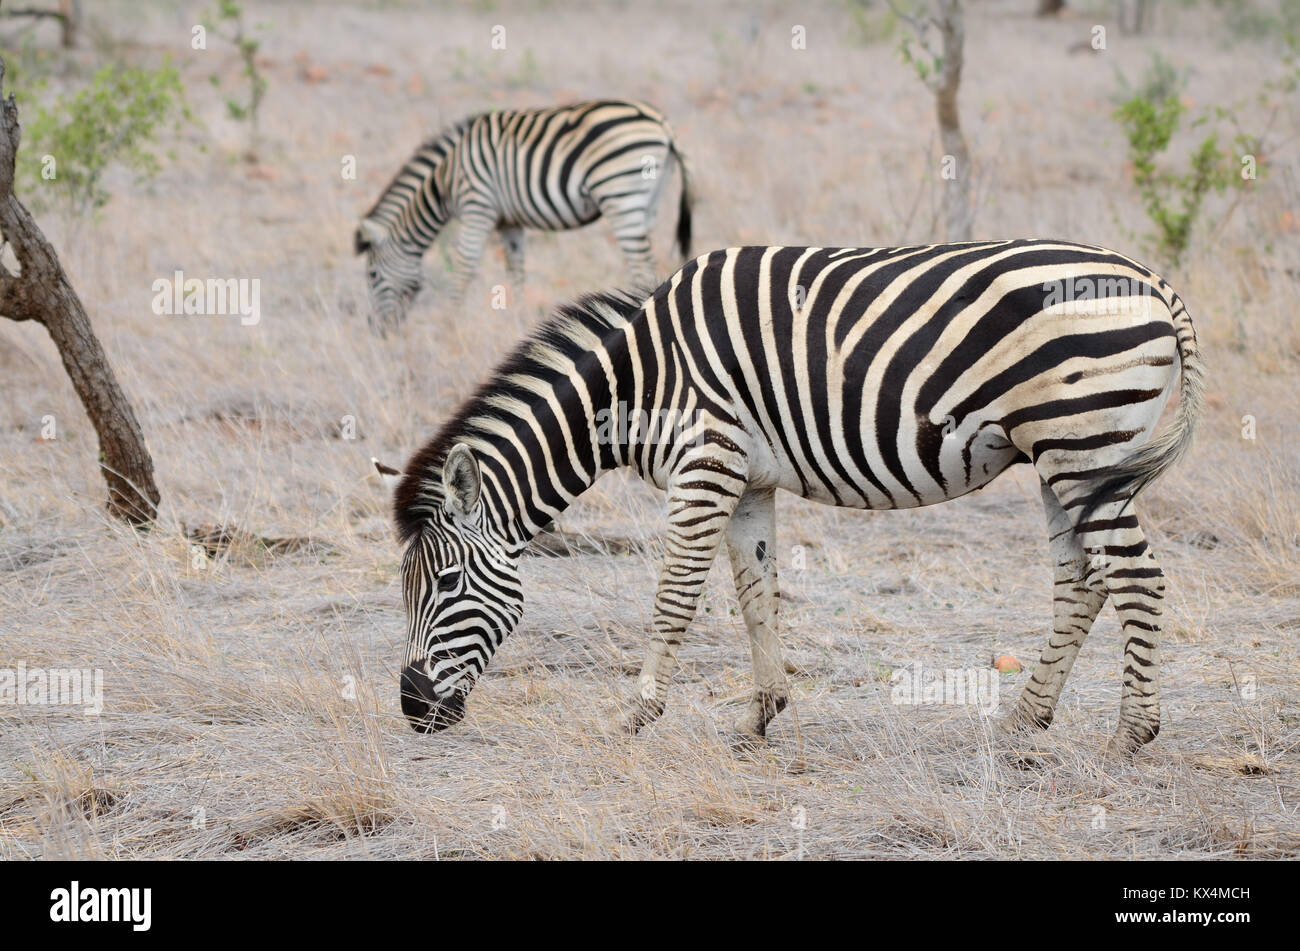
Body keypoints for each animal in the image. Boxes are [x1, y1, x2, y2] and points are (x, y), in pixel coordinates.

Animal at [355, 99, 692, 334]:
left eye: (372, 276)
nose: (377, 330)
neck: (446, 179)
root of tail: (660, 122)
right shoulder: (510, 222)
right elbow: (515, 270)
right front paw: (518, 319)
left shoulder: (478, 206)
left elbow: (465, 266)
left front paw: (452, 325)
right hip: (648, 200)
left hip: (620, 196)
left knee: (642, 266)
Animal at [377, 239, 1204, 758]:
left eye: (443, 582)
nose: (412, 710)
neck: (636, 383)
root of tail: (1152, 279)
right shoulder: (748, 480)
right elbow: (757, 596)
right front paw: (760, 716)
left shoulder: (705, 465)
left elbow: (674, 598)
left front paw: (634, 715)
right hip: (1065, 456)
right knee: (1083, 579)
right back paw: (1024, 721)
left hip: (1082, 447)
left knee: (1136, 577)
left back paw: (1129, 735)